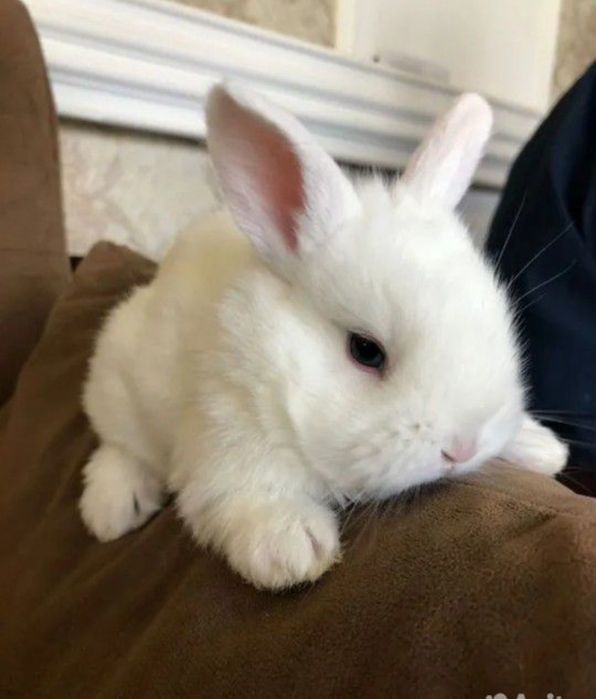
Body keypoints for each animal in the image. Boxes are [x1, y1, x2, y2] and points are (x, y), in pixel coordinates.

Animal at [80, 83, 569, 590]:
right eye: (365, 350)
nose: (462, 449)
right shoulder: (223, 435)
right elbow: (243, 491)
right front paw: (291, 546)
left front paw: (543, 448)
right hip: (120, 383)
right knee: (117, 444)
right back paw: (112, 510)